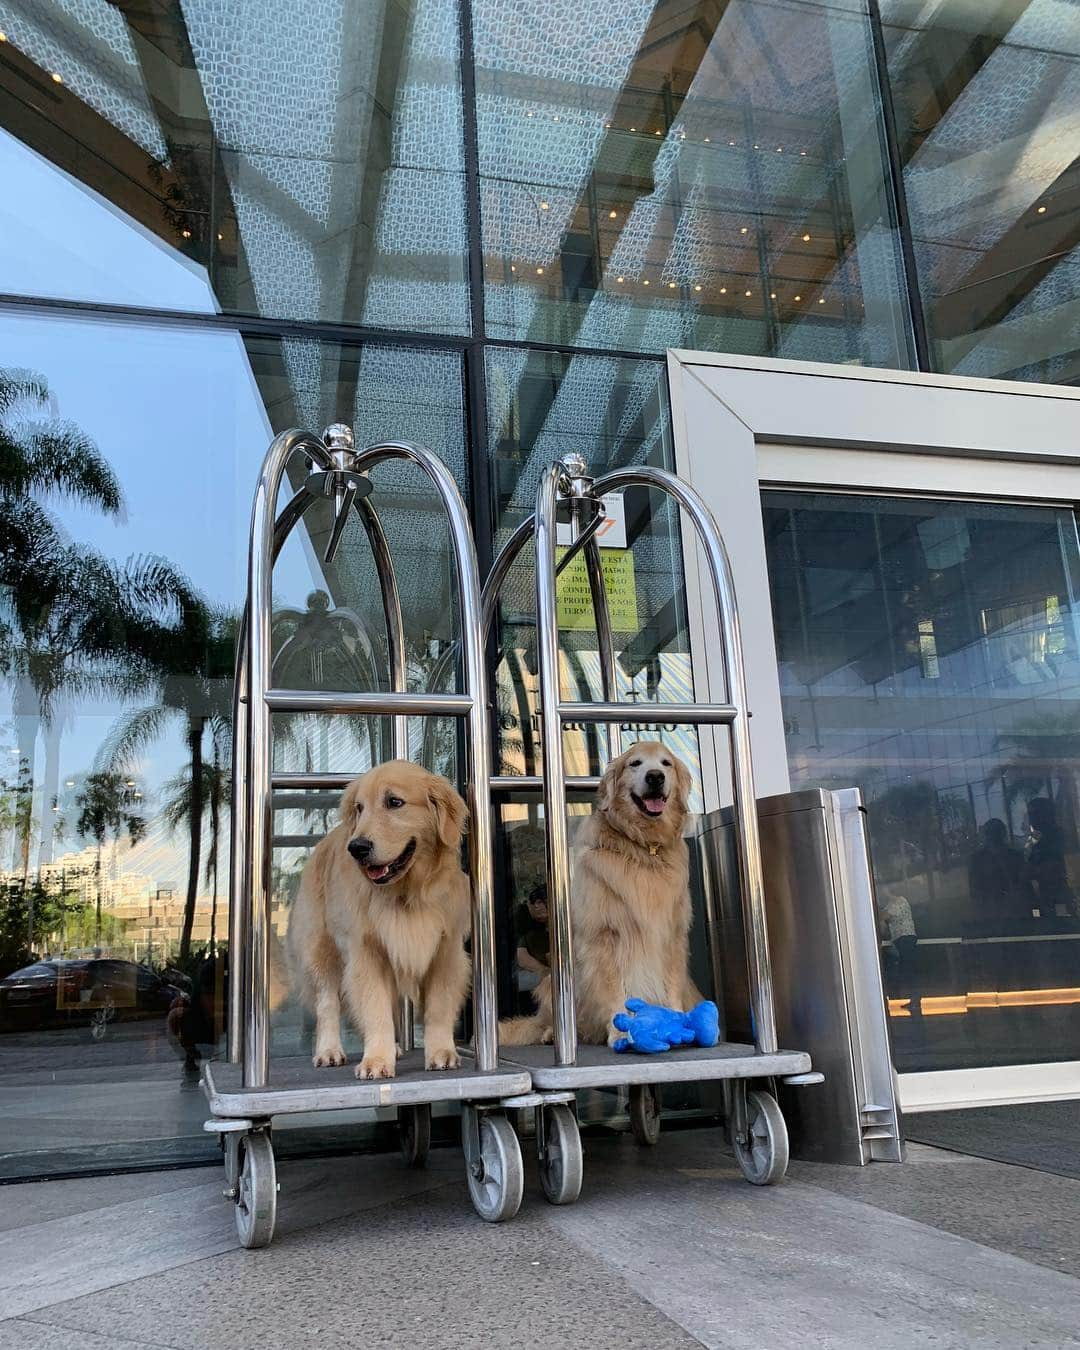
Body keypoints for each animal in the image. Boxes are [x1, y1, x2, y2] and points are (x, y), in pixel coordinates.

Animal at [286, 766, 467, 1080]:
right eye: (360, 808)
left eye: (394, 802)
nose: (357, 847)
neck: (406, 894)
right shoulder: (366, 953)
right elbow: (374, 1009)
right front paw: (376, 1060)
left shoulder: (446, 950)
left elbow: (439, 1007)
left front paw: (442, 1052)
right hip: (320, 950)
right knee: (327, 1003)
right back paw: (329, 1050)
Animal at [502, 745, 696, 1047]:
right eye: (635, 763)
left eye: (666, 763)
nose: (655, 776)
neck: (644, 847)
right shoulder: (604, 936)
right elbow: (615, 990)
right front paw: (621, 1031)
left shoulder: (673, 933)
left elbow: (672, 981)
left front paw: (676, 1022)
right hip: (551, 983)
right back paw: (553, 1034)